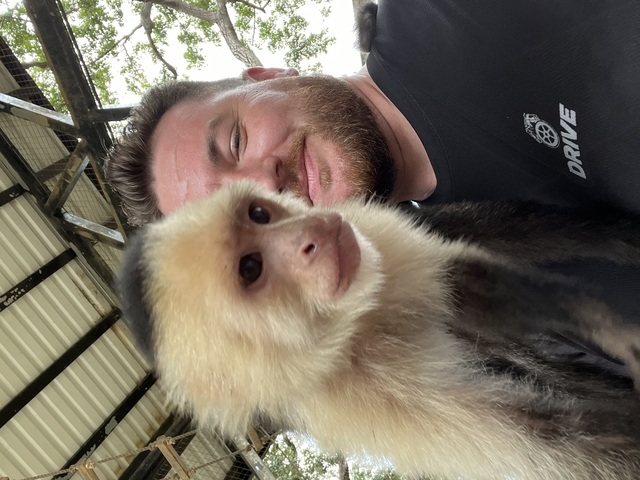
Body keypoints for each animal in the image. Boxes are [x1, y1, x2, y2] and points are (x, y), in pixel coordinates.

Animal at [116, 180, 640, 480]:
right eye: (251, 268)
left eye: (259, 215)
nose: (311, 235)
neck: (352, 327)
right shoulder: (339, 400)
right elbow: (559, 439)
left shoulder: (366, 228)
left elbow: (462, 283)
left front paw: (601, 320)